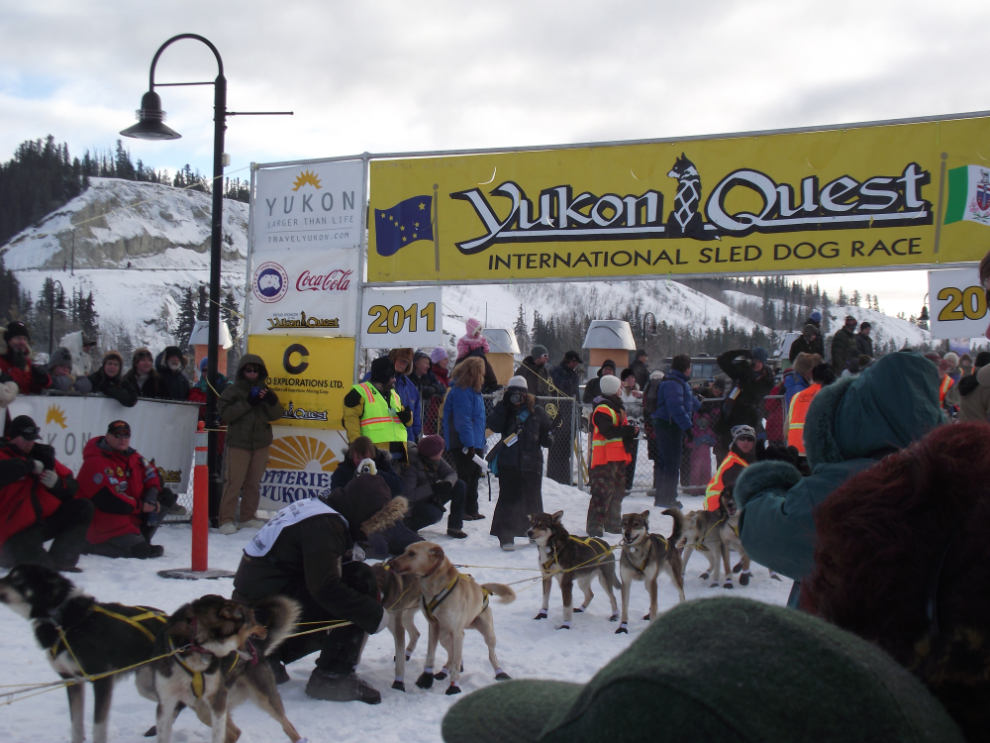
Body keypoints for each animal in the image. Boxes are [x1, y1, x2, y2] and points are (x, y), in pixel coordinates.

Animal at [0, 564, 165, 743]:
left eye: (17, 579)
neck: (63, 621)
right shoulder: (72, 680)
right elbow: (76, 726)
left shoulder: (102, 679)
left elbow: (98, 728)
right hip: (146, 684)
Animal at [151, 596, 304, 743]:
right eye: (252, 618)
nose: (265, 630)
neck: (194, 646)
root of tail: (259, 648)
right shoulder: (166, 704)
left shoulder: (217, 701)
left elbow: (218, 736)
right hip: (204, 709)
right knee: (234, 733)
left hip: (264, 698)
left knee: (288, 727)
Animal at [370, 564, 420, 692]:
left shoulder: (398, 628)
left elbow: (399, 665)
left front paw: (399, 683)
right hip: (406, 616)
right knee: (416, 634)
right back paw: (407, 653)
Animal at [388, 544, 516, 696]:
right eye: (405, 551)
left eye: (412, 553)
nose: (391, 563)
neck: (435, 588)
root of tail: (482, 588)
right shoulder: (434, 626)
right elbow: (431, 655)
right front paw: (426, 678)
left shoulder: (457, 633)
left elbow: (456, 662)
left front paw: (454, 686)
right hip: (444, 636)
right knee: (451, 653)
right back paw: (443, 671)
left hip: (488, 633)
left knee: (491, 655)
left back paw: (500, 672)